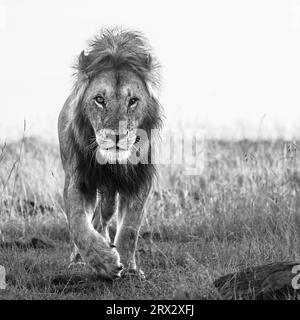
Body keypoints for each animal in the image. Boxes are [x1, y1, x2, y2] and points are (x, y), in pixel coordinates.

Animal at [57, 28, 163, 280]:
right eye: (99, 99)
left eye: (133, 101)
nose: (116, 136)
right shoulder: (78, 181)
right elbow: (78, 224)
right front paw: (103, 261)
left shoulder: (139, 182)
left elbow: (130, 229)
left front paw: (129, 268)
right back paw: (79, 260)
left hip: (110, 197)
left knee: (103, 216)